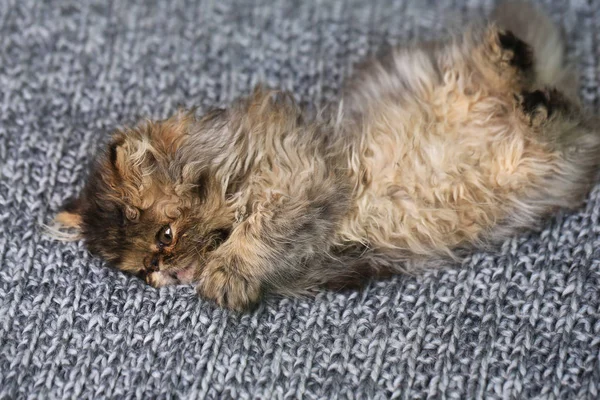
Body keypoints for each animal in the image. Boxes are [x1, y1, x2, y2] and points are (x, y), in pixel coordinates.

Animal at [55, 0, 600, 310]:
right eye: (144, 272)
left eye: (165, 237)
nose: (164, 274)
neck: (231, 166)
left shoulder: (299, 175)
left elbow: (258, 232)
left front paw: (227, 275)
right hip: (538, 163)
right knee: (559, 116)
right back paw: (531, 92)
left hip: (474, 94)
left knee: (554, 108)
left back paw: (509, 55)